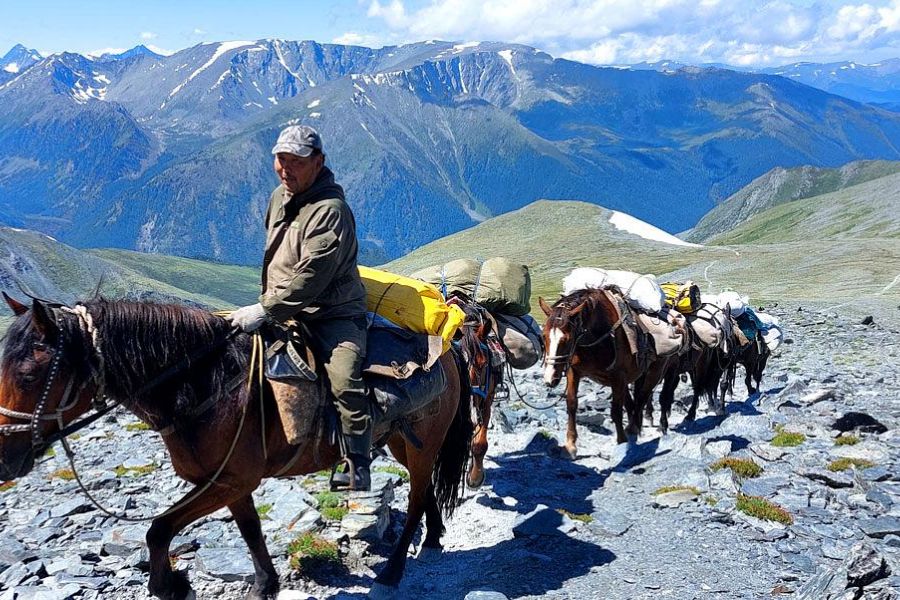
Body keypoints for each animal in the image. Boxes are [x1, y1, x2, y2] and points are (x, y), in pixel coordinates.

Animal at [0, 296, 474, 600]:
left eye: (29, 375)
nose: (6, 457)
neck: (204, 385)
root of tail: (449, 348)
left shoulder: (228, 480)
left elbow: (159, 528)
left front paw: (169, 586)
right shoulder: (231, 483)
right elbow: (249, 530)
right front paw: (265, 584)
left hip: (421, 444)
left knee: (414, 497)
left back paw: (393, 570)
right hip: (399, 441)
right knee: (424, 489)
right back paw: (433, 536)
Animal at [536, 288, 672, 452]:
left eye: (566, 340)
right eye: (543, 336)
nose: (550, 379)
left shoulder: (618, 377)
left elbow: (616, 411)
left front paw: (621, 441)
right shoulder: (574, 372)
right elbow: (572, 404)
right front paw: (570, 444)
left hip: (655, 372)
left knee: (641, 398)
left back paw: (633, 428)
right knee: (632, 403)